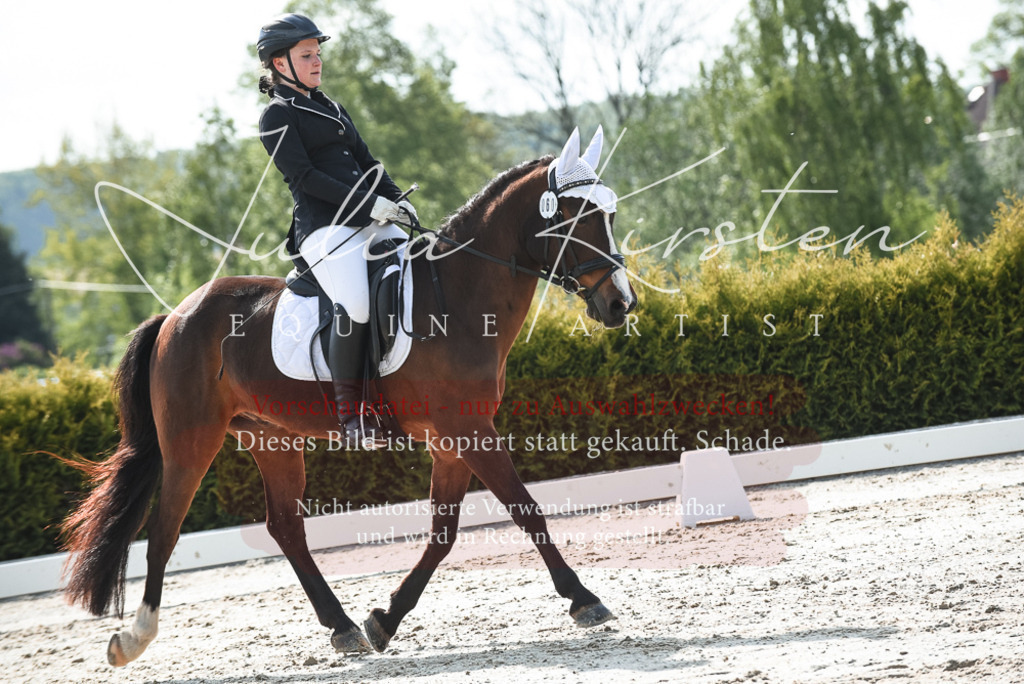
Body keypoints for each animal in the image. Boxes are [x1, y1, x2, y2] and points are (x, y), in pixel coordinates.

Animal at [60, 126, 637, 665]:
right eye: (577, 216)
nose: (620, 304)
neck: (458, 296)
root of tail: (174, 316)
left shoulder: (452, 440)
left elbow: (444, 532)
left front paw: (385, 618)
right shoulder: (468, 431)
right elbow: (526, 509)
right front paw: (584, 599)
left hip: (272, 438)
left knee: (285, 527)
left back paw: (343, 628)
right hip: (190, 443)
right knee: (164, 530)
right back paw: (133, 638)